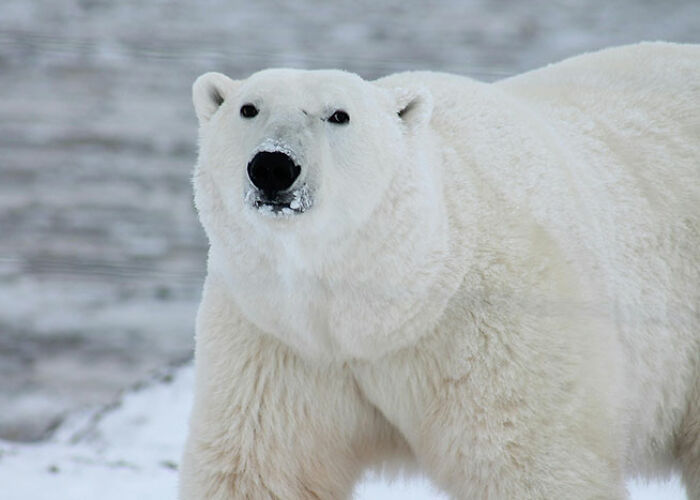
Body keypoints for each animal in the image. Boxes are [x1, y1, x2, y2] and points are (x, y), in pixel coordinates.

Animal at [179, 42, 700, 499]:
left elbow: (531, 464)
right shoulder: (278, 340)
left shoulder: (496, 331)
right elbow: (262, 467)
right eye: (249, 108)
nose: (273, 166)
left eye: (338, 115)